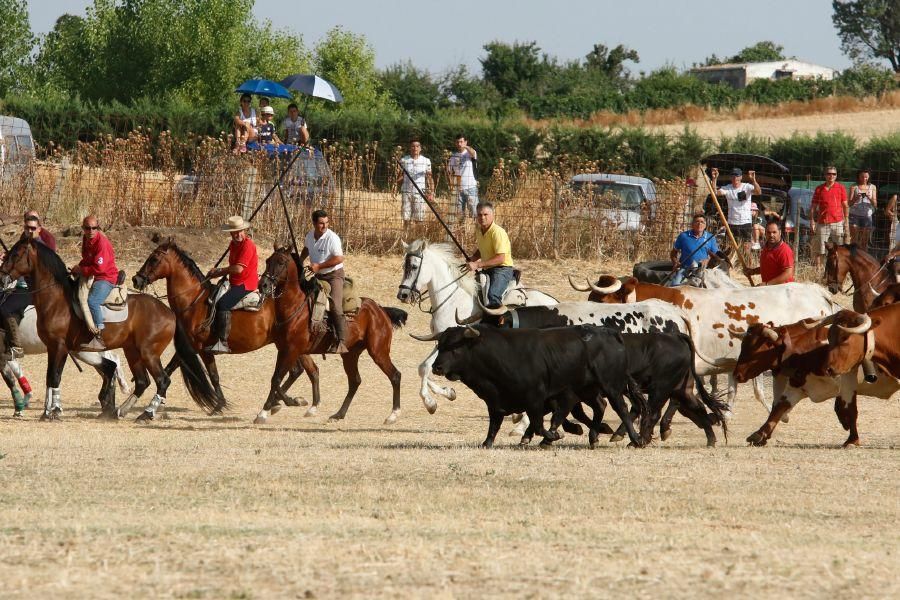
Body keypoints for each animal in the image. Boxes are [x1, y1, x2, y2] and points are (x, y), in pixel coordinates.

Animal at [3, 308, 131, 414]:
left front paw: (21, 405)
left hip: (84, 352)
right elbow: (14, 372)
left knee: (111, 362)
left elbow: (10, 376)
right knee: (109, 365)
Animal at [134, 239, 324, 418]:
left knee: (293, 372)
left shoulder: (202, 349)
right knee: (300, 370)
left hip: (291, 345)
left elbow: (214, 377)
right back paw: (285, 401)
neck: (194, 301)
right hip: (291, 346)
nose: (136, 279)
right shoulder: (189, 347)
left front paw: (219, 405)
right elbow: (169, 369)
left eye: (154, 258)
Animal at [255, 246, 406, 424]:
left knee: (395, 375)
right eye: (267, 261)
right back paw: (339, 414)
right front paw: (274, 406)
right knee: (355, 381)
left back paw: (393, 414)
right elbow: (276, 379)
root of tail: (380, 310)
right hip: (350, 354)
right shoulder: (284, 350)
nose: (263, 285)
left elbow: (278, 379)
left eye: (281, 262)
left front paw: (282, 405)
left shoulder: (292, 351)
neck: (294, 307)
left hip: (378, 352)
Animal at [400, 239, 560, 412]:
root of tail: (555, 302)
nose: (402, 295)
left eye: (414, 266)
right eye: (404, 266)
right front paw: (448, 392)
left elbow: (426, 367)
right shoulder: (438, 341)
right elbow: (423, 368)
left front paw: (430, 403)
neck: (453, 300)